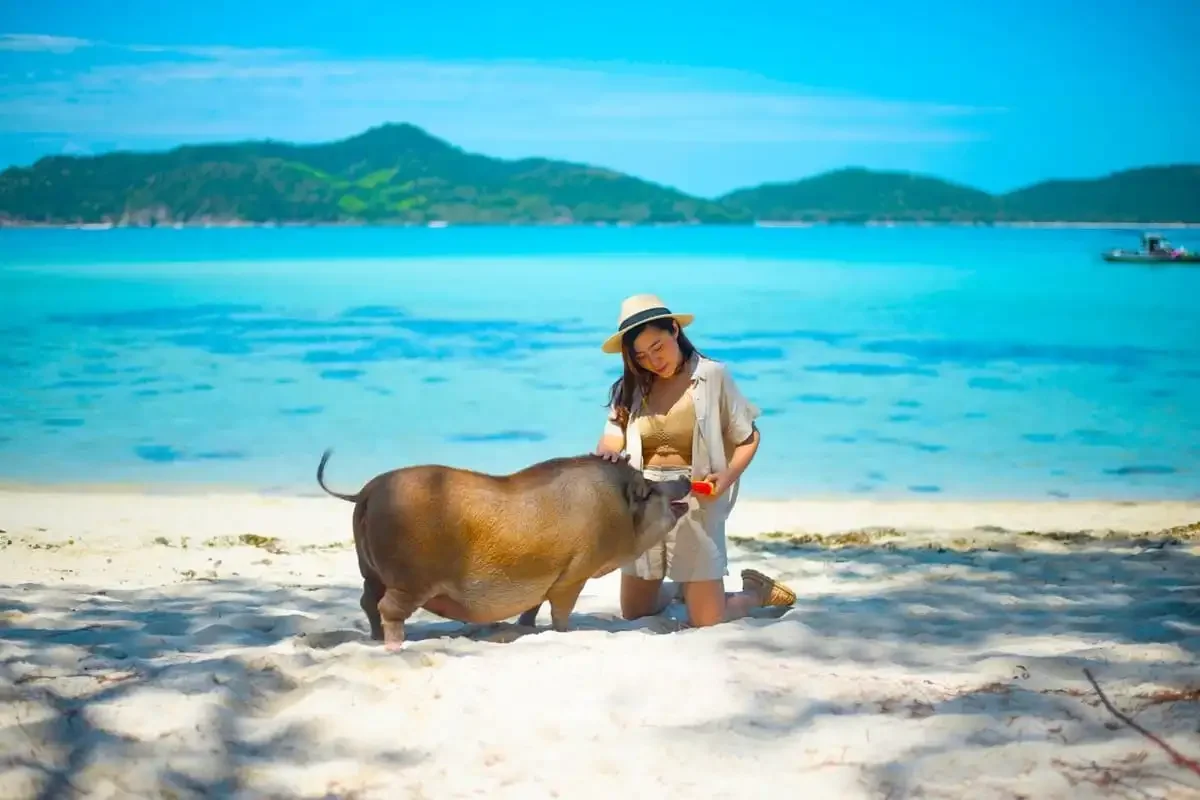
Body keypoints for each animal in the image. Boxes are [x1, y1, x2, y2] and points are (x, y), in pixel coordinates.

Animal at [316, 448, 692, 647]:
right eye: (648, 490)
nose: (685, 478)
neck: (613, 514)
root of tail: (365, 493)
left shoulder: (546, 576)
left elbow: (533, 607)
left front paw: (526, 629)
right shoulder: (574, 573)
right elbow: (561, 612)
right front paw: (565, 633)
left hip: (370, 571)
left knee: (367, 601)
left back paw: (375, 639)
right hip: (410, 578)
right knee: (388, 608)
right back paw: (395, 645)